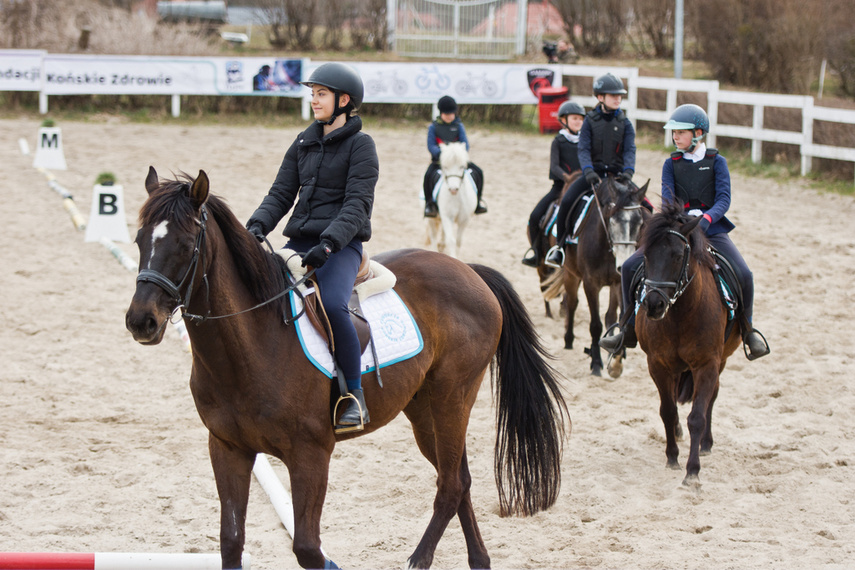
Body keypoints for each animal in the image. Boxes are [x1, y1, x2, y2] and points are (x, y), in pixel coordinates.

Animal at [125, 166, 568, 564]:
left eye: (186, 244)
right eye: (139, 239)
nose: (141, 321)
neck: (251, 345)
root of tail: (468, 270)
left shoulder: (310, 455)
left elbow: (308, 549)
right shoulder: (228, 449)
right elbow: (231, 542)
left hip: (452, 399)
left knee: (449, 486)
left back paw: (417, 560)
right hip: (425, 410)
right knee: (459, 479)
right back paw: (479, 560)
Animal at [560, 175, 648, 374]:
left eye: (640, 223)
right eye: (613, 221)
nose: (623, 263)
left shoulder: (619, 282)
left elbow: (619, 319)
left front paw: (616, 361)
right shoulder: (590, 283)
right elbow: (595, 325)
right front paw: (596, 363)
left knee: (610, 315)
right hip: (570, 273)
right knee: (571, 303)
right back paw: (568, 340)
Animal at [636, 202, 744, 486]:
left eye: (676, 256)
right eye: (645, 255)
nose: (653, 304)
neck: (680, 314)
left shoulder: (707, 364)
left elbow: (697, 415)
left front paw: (692, 472)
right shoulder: (658, 364)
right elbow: (667, 410)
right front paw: (672, 458)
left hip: (721, 360)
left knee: (711, 398)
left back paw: (705, 444)